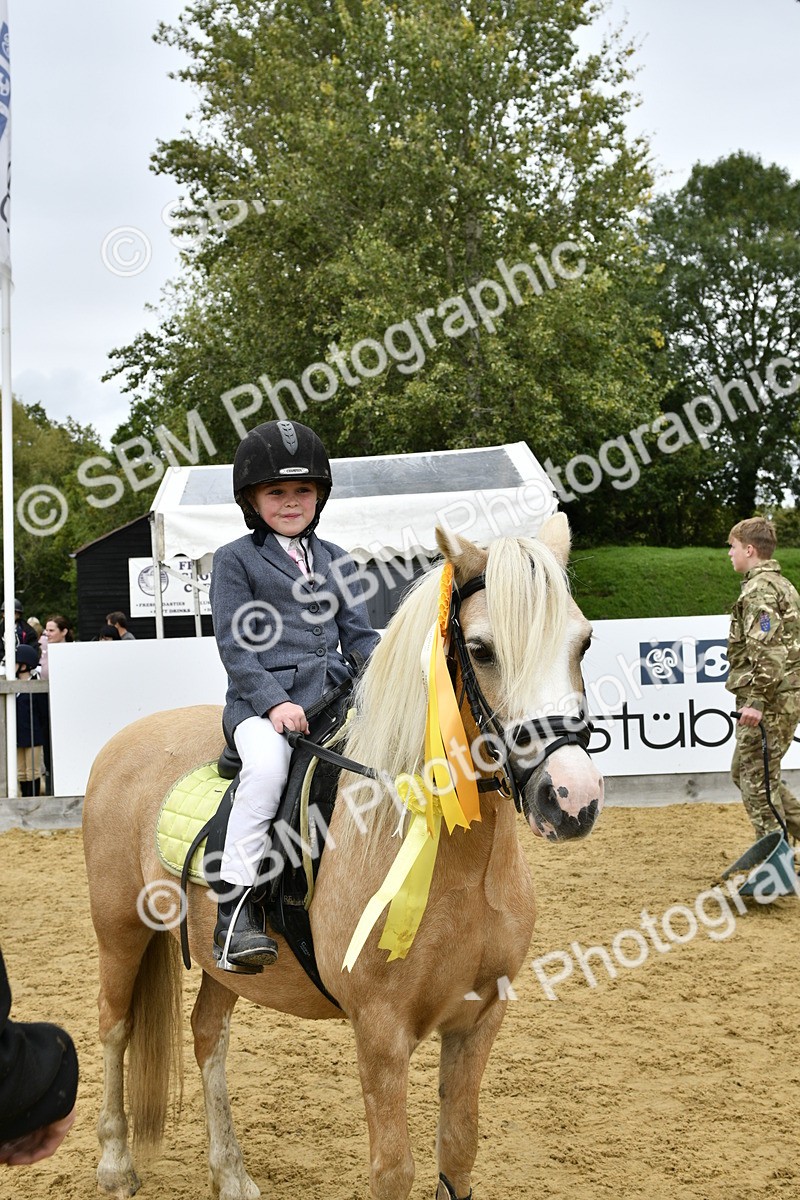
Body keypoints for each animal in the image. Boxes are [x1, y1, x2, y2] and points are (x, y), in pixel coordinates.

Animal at [82, 515, 603, 1200]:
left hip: (221, 962)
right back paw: (116, 1165)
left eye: (584, 643)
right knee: (114, 1027)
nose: (572, 797)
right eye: (483, 649)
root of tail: (124, 739)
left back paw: (232, 1174)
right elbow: (393, 1171)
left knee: (207, 1036)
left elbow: (458, 1153)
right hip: (120, 928)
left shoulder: (478, 1018)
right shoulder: (380, 1031)